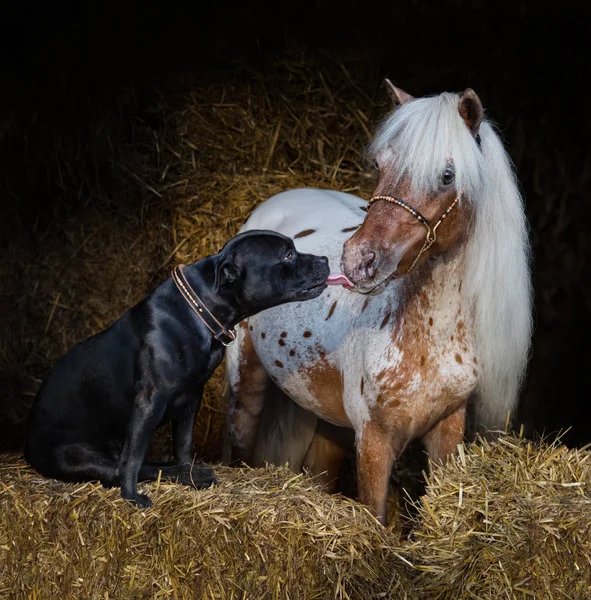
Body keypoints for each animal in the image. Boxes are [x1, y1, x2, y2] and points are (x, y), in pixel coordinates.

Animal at [25, 230, 330, 506]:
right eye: (287, 255)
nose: (326, 258)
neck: (201, 309)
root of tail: (28, 449)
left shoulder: (190, 399)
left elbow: (183, 445)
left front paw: (189, 473)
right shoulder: (149, 401)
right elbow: (133, 458)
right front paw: (132, 497)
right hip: (79, 457)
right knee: (123, 466)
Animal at [224, 82, 536, 524]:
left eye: (447, 175)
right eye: (380, 163)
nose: (358, 260)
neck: (429, 333)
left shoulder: (446, 430)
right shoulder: (373, 440)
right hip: (245, 384)